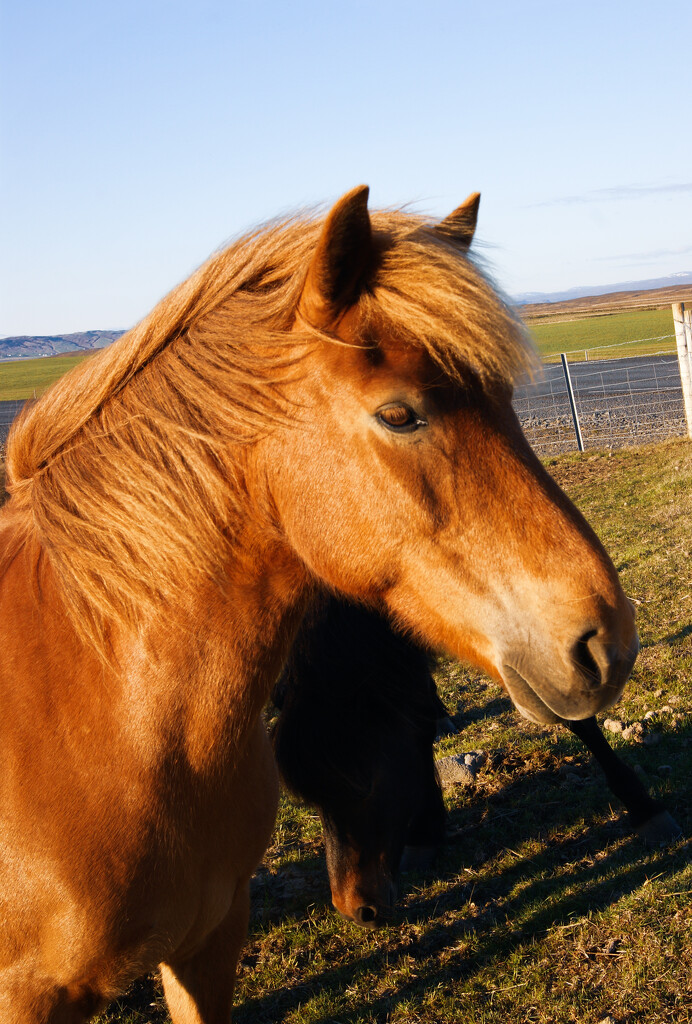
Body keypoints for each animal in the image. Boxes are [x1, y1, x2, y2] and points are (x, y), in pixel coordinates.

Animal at [0, 186, 638, 1024]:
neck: (99, 709)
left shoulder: (208, 946)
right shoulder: (31, 995)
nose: (607, 643)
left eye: (503, 398)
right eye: (399, 414)